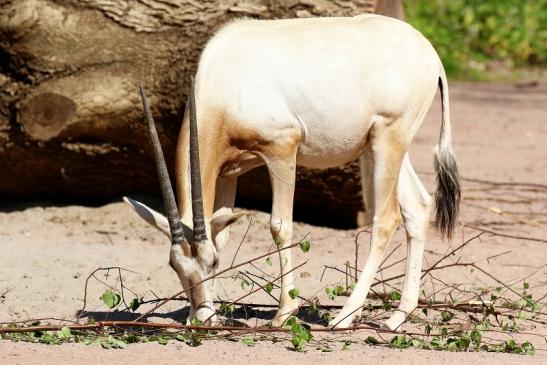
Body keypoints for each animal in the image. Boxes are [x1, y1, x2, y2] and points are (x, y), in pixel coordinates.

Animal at [123, 13, 458, 330]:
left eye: (213, 262)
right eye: (175, 266)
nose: (201, 317)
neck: (226, 79)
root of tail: (430, 54)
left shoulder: (282, 149)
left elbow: (279, 226)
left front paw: (284, 313)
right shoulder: (229, 171)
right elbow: (223, 232)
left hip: (388, 140)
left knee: (386, 219)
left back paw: (345, 316)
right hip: (384, 146)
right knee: (417, 206)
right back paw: (398, 316)